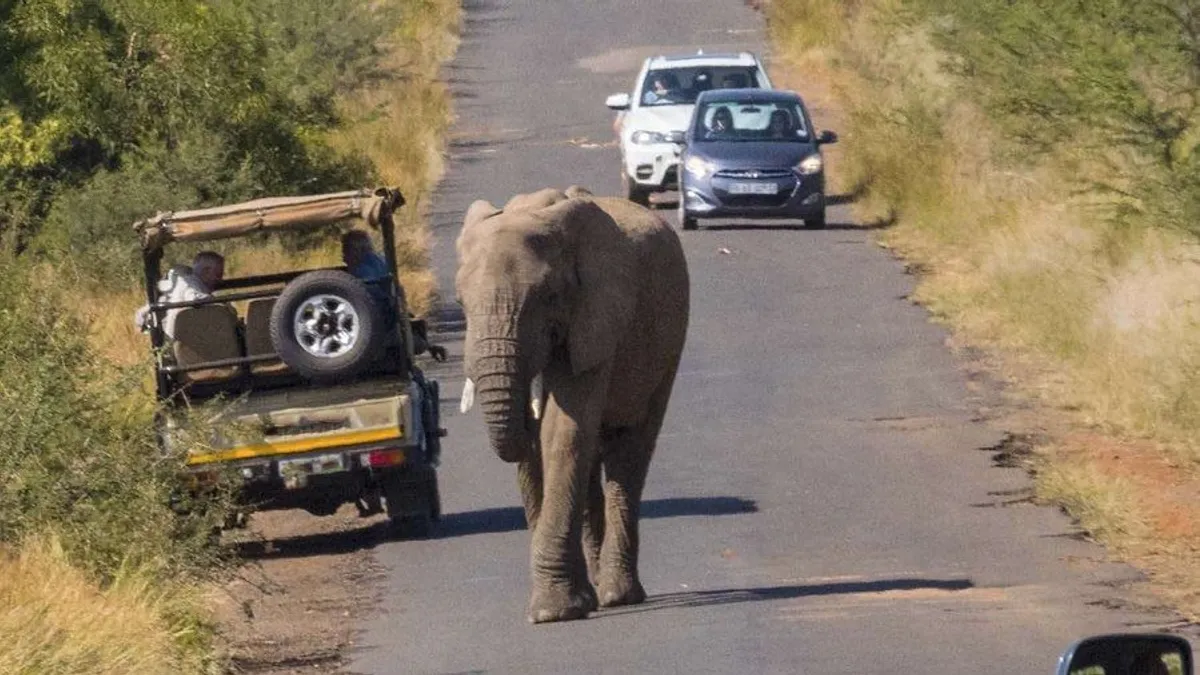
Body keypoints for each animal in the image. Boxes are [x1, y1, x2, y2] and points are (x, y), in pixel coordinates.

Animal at [453, 182, 691, 619]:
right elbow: (542, 445)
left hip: (668, 342)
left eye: (548, 296)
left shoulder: (596, 320)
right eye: (461, 304)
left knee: (628, 454)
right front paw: (564, 604)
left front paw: (553, 612)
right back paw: (597, 586)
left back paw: (616, 593)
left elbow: (562, 432)